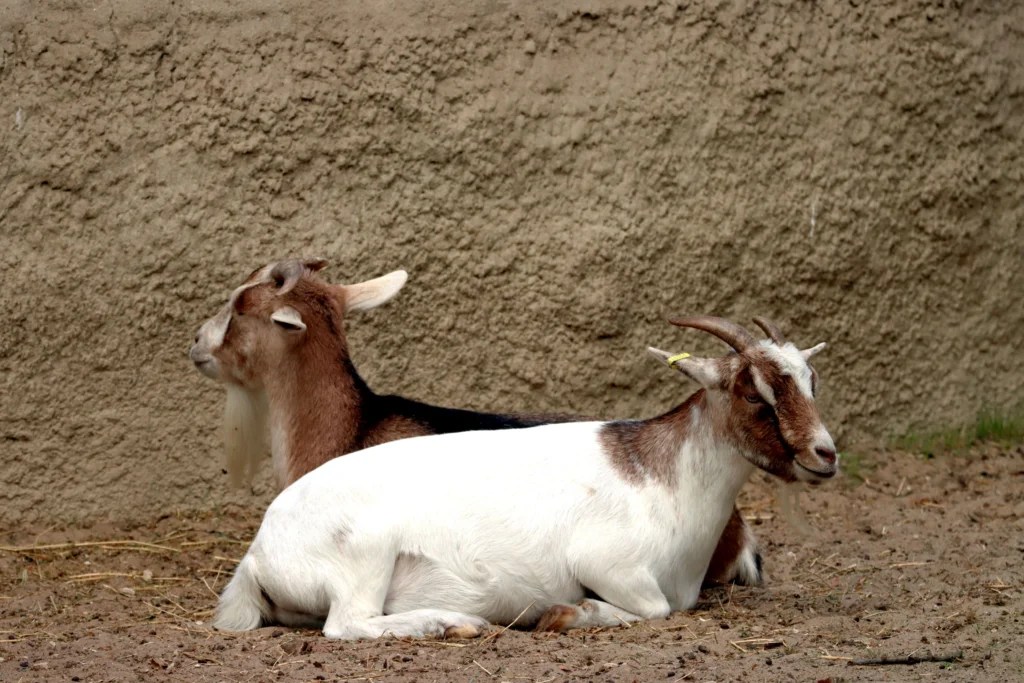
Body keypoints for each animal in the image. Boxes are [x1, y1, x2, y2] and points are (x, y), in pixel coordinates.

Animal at [213, 315, 837, 639]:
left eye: (811, 381)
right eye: (753, 392)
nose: (825, 453)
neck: (664, 481)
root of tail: (259, 553)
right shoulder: (606, 563)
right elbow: (653, 609)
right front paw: (567, 613)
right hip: (363, 555)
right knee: (347, 624)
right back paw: (453, 622)